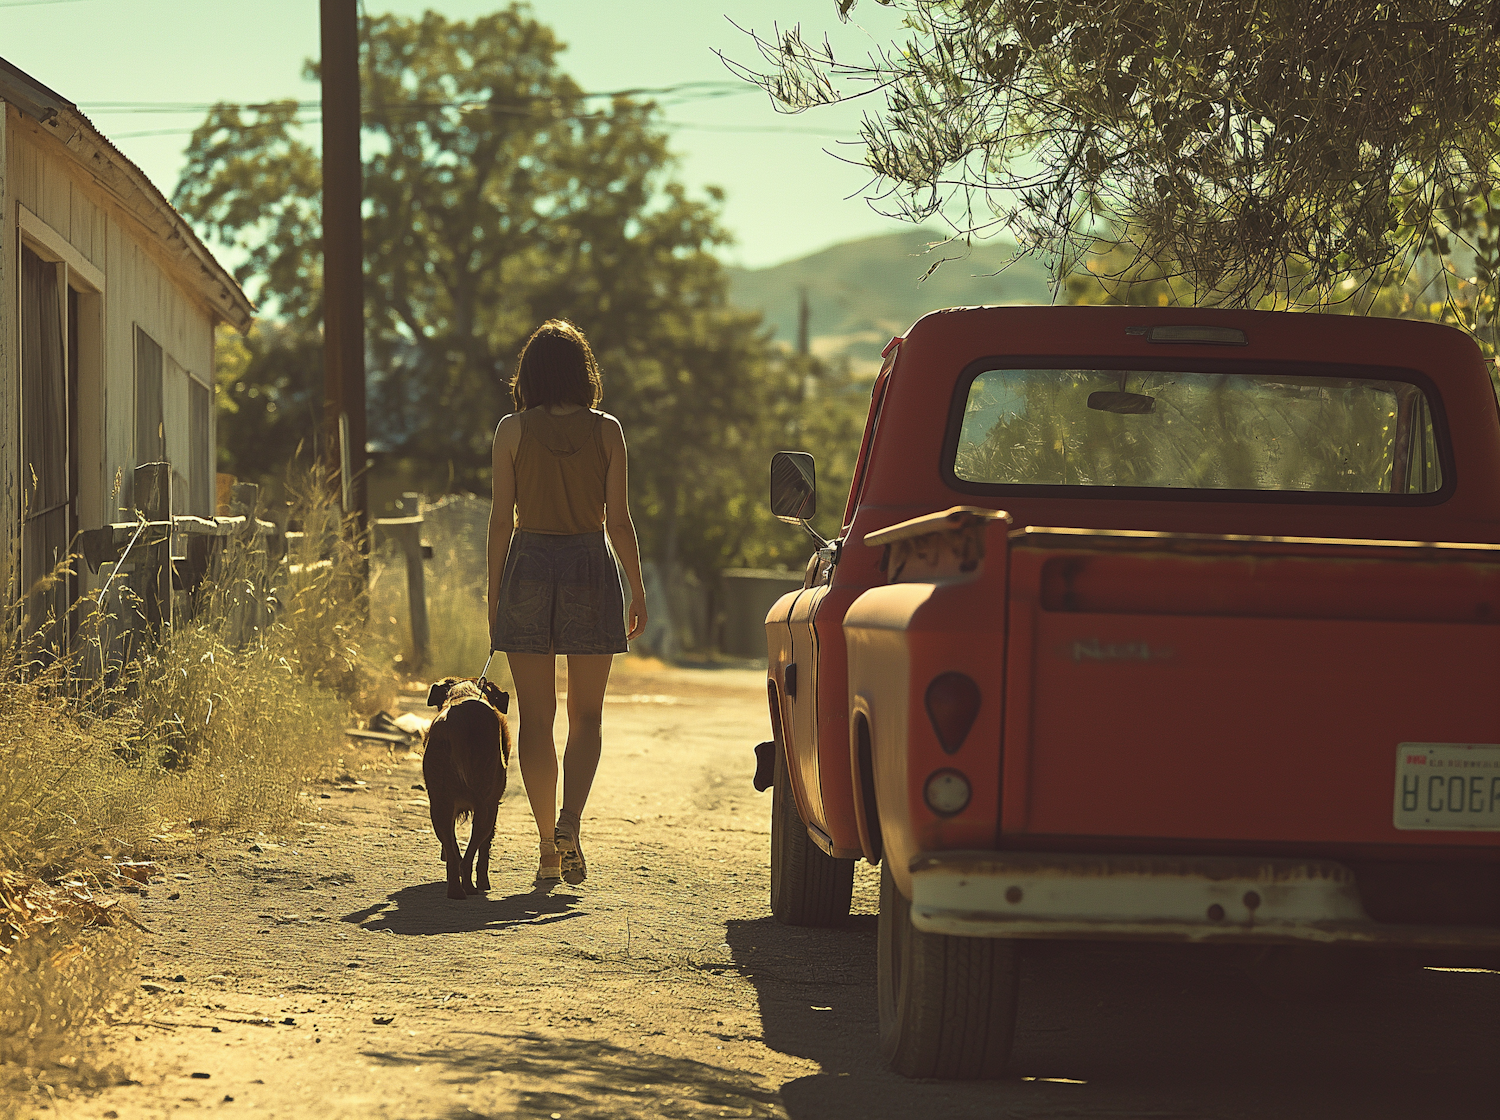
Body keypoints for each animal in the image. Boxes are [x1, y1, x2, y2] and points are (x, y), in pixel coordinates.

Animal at [426, 674, 513, 899]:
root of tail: (454, 724)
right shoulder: (494, 805)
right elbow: (484, 850)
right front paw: (483, 882)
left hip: (438, 805)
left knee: (454, 855)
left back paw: (456, 890)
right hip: (486, 807)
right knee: (471, 853)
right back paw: (471, 887)